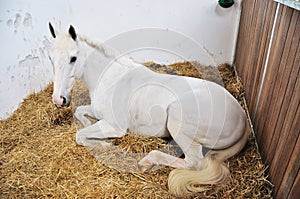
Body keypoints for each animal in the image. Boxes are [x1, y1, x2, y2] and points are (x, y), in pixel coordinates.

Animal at [47, 23, 248, 196]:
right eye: (51, 59)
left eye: (73, 58)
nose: (58, 100)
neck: (111, 78)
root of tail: (243, 120)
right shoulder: (97, 112)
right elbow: (80, 112)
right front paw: (90, 126)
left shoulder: (115, 127)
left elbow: (80, 136)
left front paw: (105, 145)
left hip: (177, 119)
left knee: (194, 162)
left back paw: (146, 162)